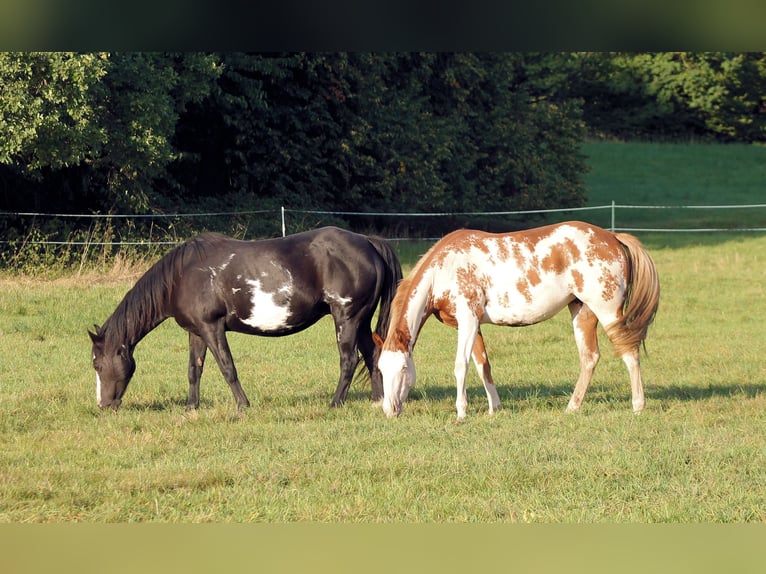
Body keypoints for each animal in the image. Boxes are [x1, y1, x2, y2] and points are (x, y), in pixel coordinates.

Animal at [89, 226, 403, 411]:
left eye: (98, 364)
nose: (103, 405)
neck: (183, 275)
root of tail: (369, 242)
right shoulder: (196, 332)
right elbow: (194, 370)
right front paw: (191, 407)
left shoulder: (212, 328)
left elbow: (227, 367)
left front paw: (243, 406)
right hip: (360, 320)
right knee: (372, 353)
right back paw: (378, 400)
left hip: (346, 318)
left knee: (349, 360)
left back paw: (335, 403)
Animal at [374, 221, 660, 419]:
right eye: (381, 369)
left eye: (403, 368)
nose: (389, 409)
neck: (445, 268)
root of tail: (612, 237)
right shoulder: (472, 325)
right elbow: (483, 365)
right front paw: (494, 408)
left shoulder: (467, 319)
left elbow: (461, 366)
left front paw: (462, 411)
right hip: (582, 311)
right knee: (589, 358)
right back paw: (572, 407)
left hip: (608, 312)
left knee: (629, 352)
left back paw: (638, 405)